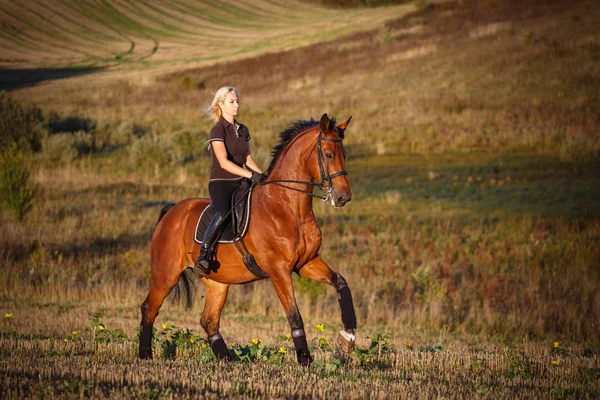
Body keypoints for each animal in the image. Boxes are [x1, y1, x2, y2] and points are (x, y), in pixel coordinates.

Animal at [139, 113, 356, 366]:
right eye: (329, 155)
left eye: (345, 154)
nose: (343, 197)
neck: (288, 207)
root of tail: (171, 212)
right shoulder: (278, 270)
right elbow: (294, 315)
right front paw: (305, 360)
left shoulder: (306, 263)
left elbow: (341, 283)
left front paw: (347, 339)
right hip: (166, 274)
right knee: (149, 309)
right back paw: (145, 356)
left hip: (217, 282)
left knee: (209, 320)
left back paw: (227, 360)